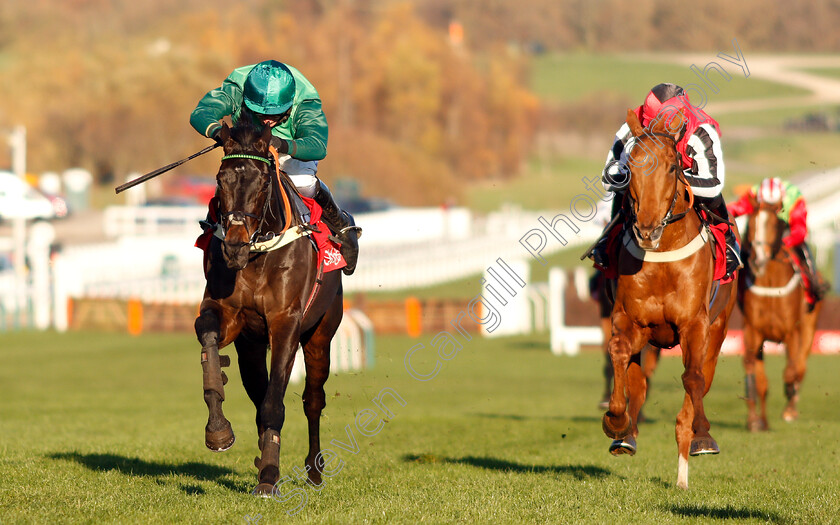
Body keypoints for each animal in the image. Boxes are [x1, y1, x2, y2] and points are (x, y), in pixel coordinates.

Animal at [195, 118, 342, 496]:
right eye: (220, 179)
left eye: (262, 182)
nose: (233, 245)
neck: (258, 253)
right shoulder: (229, 315)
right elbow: (208, 338)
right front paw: (218, 431)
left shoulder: (286, 322)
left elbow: (275, 403)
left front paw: (269, 477)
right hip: (251, 347)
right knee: (257, 391)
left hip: (321, 335)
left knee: (312, 399)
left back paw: (314, 470)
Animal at [604, 108, 736, 490]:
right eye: (629, 167)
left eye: (673, 167)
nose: (646, 230)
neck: (662, 254)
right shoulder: (629, 320)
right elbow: (619, 356)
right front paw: (616, 421)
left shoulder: (696, 325)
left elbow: (692, 379)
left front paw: (703, 434)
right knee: (638, 383)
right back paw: (627, 435)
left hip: (719, 329)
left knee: (699, 382)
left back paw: (685, 466)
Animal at [740, 196, 820, 430]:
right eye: (751, 224)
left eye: (775, 224)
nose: (757, 259)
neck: (770, 284)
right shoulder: (752, 331)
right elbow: (756, 377)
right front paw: (756, 421)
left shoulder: (791, 332)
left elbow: (791, 372)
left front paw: (790, 403)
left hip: (809, 327)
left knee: (801, 366)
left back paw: (791, 407)